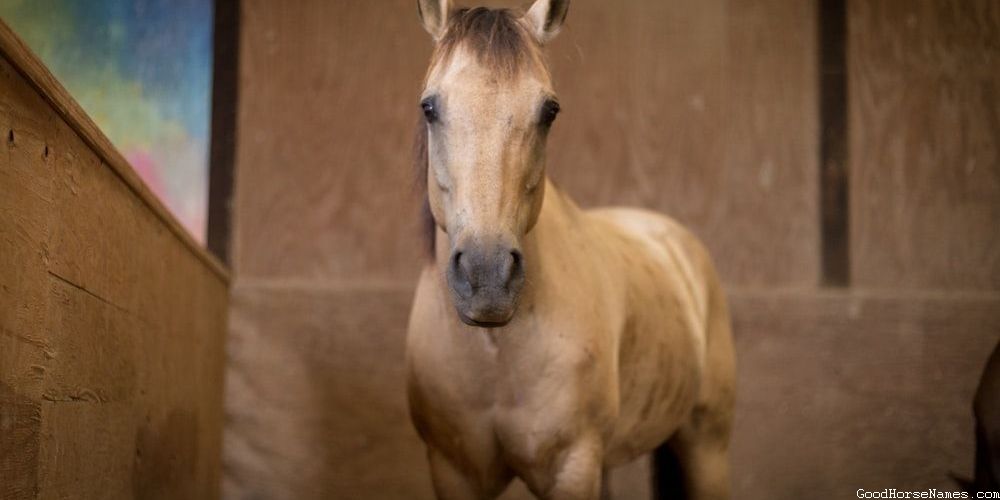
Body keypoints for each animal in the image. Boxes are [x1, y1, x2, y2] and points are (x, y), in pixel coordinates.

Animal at [405, 2, 736, 498]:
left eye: (550, 110)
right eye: (430, 107)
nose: (487, 276)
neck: (496, 353)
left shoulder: (572, 466)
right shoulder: (454, 471)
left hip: (706, 450)